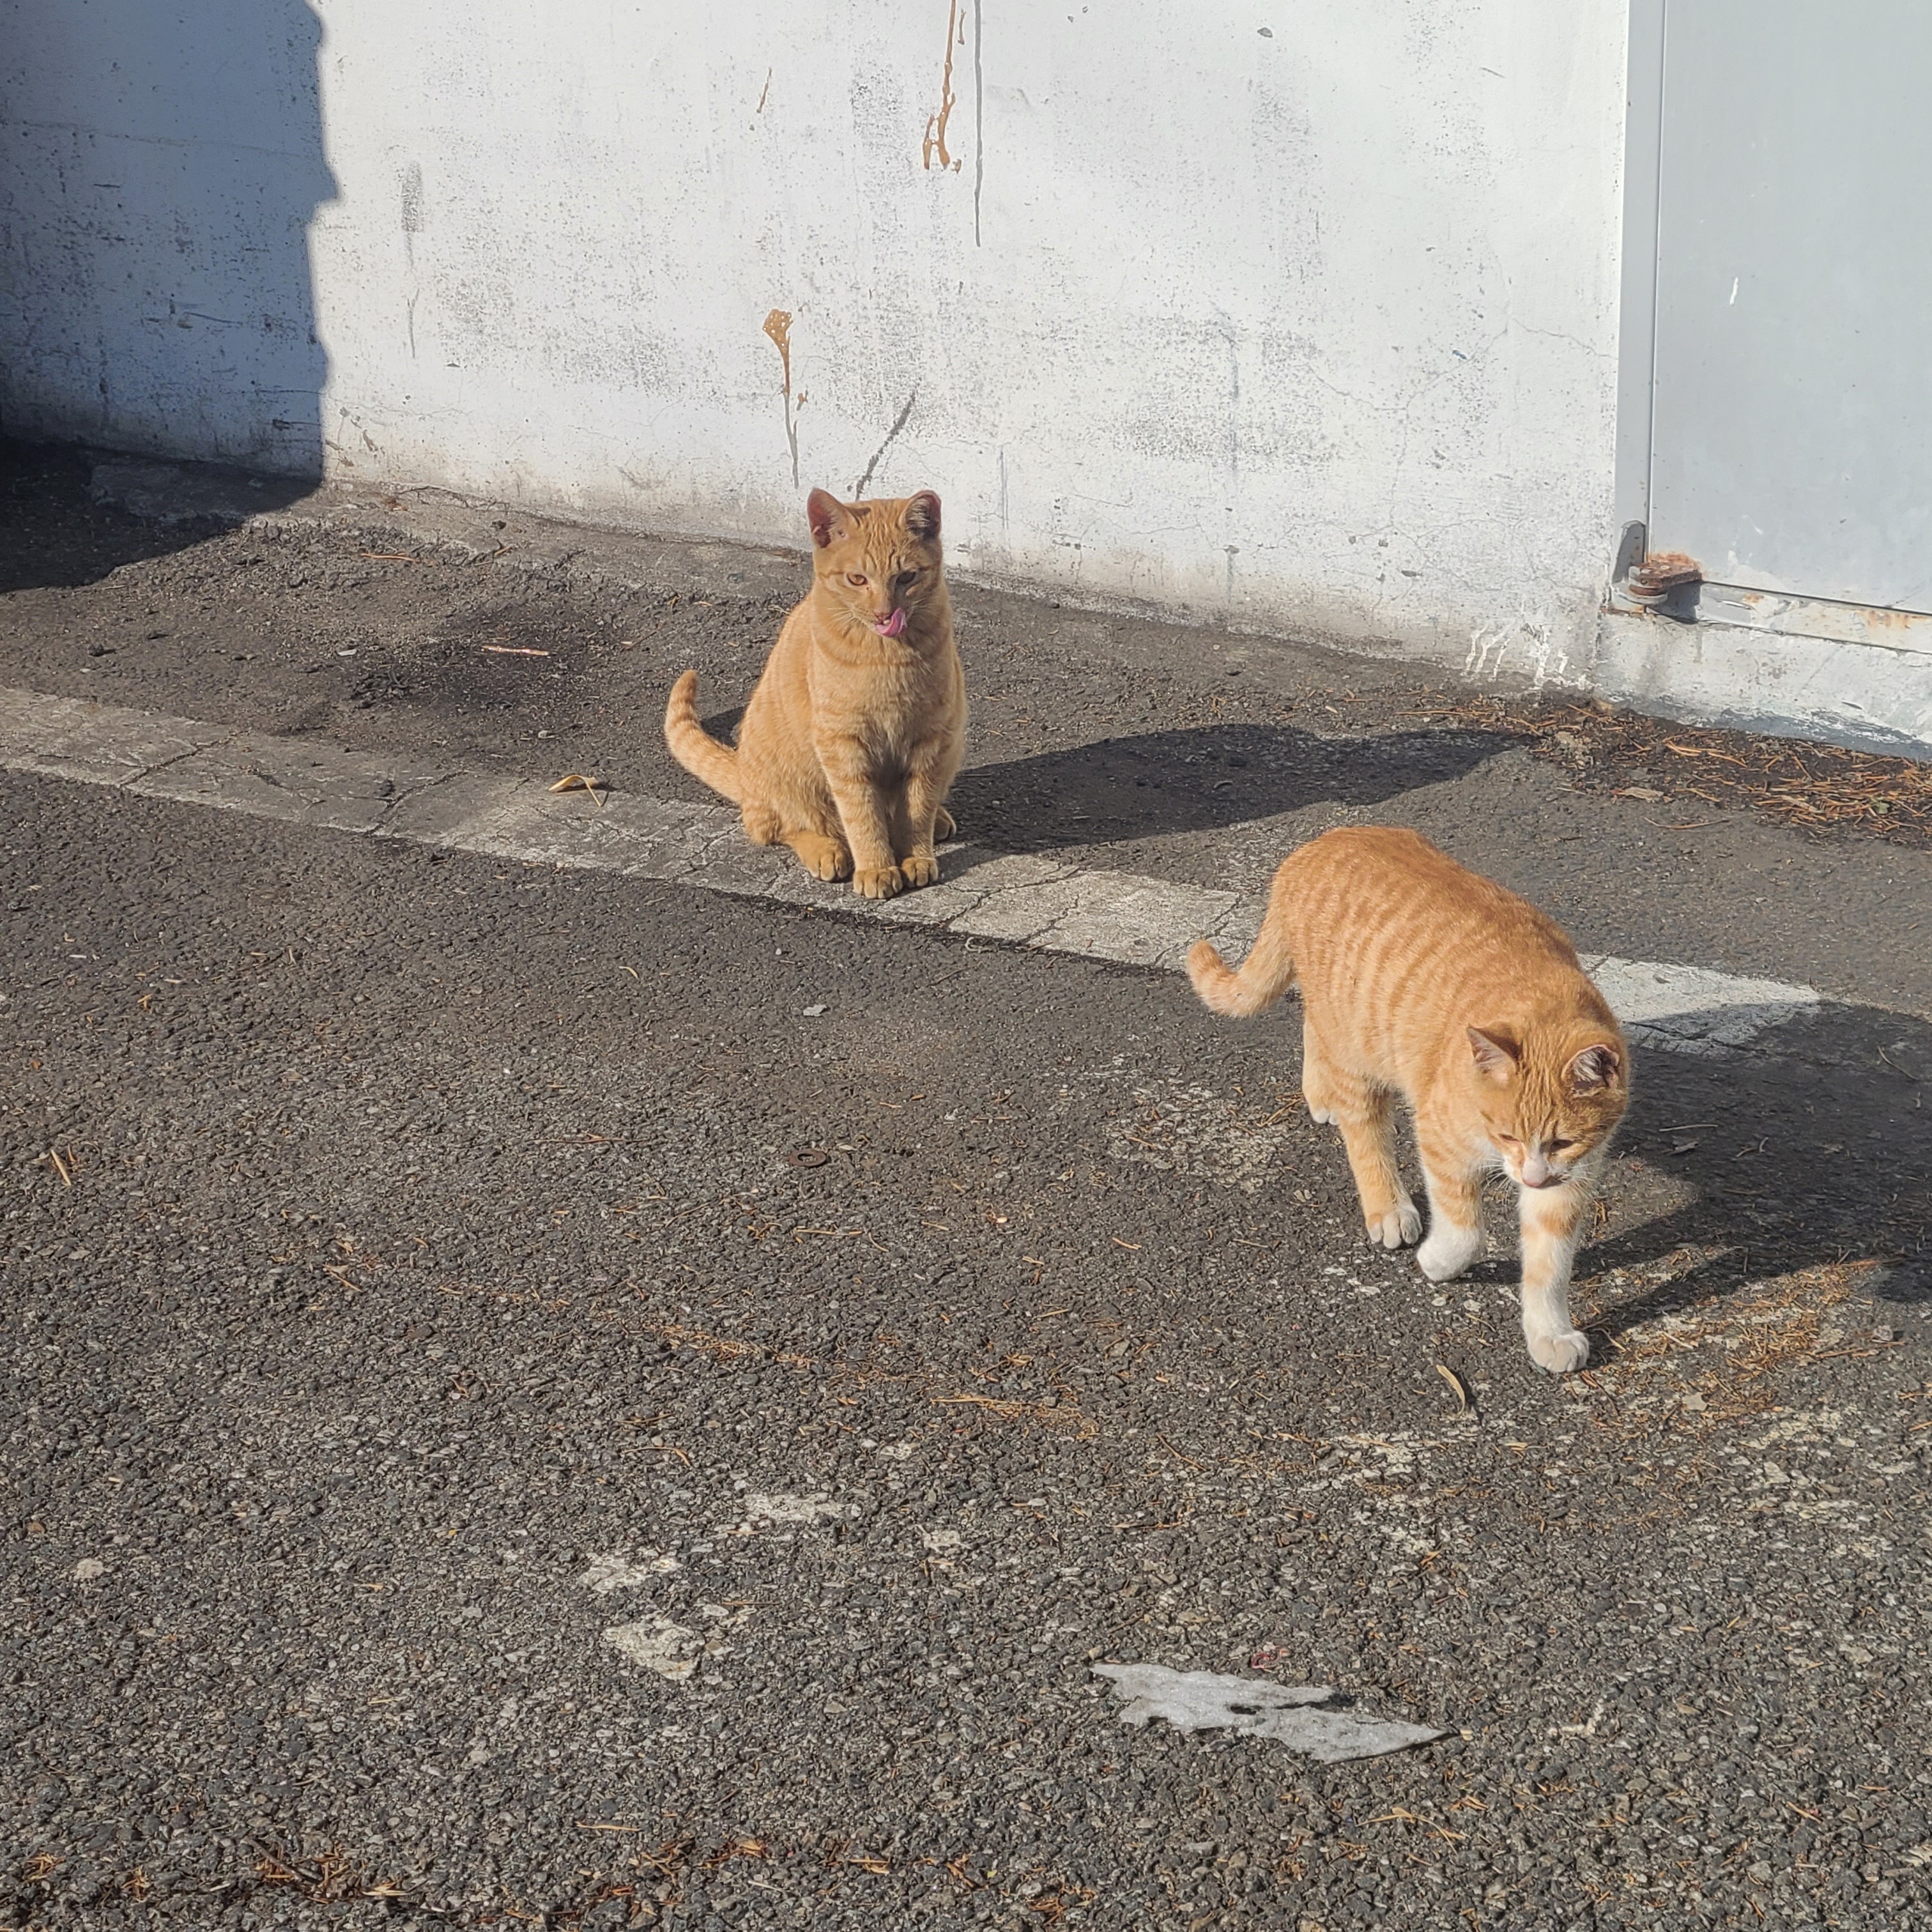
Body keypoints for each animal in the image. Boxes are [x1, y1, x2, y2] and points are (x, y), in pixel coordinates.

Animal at [664, 487, 966, 900]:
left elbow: (917, 807)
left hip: (953, 743)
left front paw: (915, 856)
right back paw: (826, 850)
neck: (888, 657)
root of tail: (742, 771)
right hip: (791, 779)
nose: (884, 614)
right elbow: (862, 814)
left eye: (906, 577)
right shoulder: (843, 744)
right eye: (857, 579)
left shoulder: (930, 738)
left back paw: (939, 820)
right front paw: (877, 867)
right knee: (779, 827)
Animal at [1186, 826, 1628, 1374]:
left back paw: (1320, 1092)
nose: (1529, 1178)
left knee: (1311, 1025)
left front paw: (1550, 1333)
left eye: (1563, 1141)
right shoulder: (1440, 1139)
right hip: (1359, 1046)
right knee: (1363, 1129)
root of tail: (1318, 843)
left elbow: (1550, 1268)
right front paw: (1440, 1261)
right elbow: (1466, 1232)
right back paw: (1386, 1202)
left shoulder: (1570, 1180)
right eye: (1504, 1133)